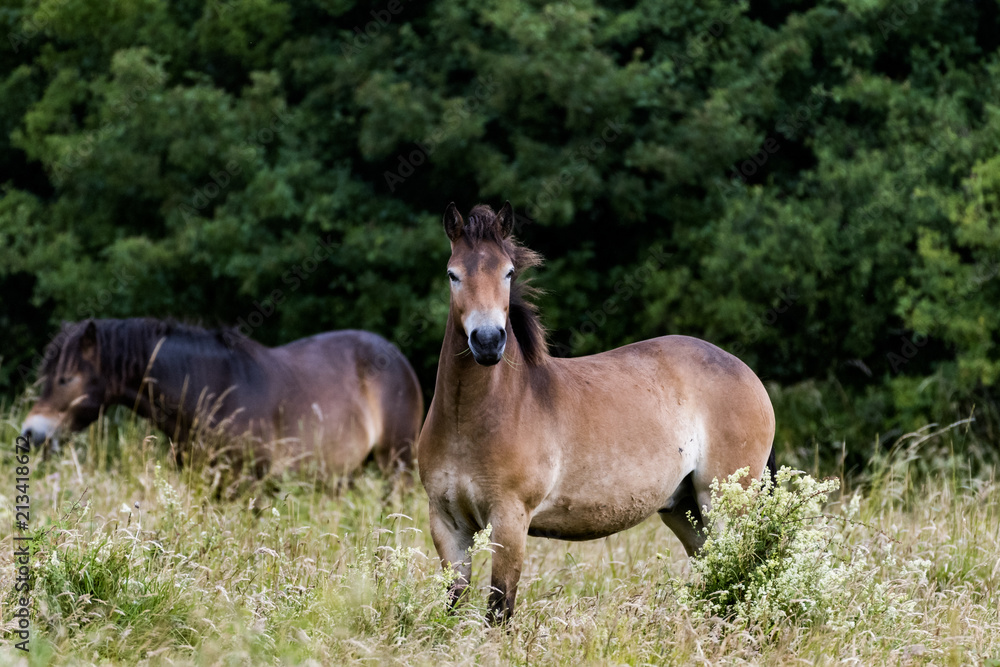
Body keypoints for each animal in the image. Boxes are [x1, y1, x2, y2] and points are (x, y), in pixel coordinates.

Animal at [417, 202, 777, 623]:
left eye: (507, 272)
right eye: (453, 274)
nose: (488, 342)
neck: (470, 421)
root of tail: (748, 375)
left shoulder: (509, 521)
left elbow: (499, 608)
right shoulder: (448, 525)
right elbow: (453, 604)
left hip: (723, 503)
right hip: (683, 508)